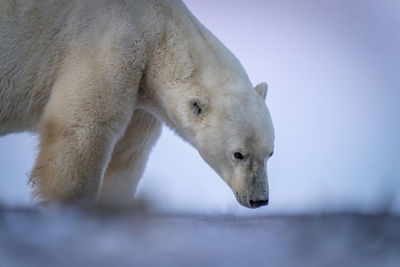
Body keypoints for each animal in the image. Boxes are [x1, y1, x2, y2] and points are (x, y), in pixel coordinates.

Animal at [0, 0, 276, 209]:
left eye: (270, 153)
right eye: (238, 154)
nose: (259, 199)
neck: (158, 30)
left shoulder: (142, 96)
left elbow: (128, 155)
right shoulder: (107, 46)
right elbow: (83, 128)